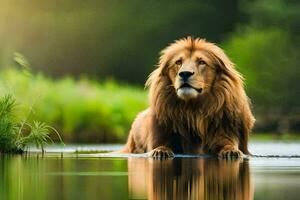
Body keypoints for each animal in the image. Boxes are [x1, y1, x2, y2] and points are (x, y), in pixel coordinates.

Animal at [120, 36, 254, 158]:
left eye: (201, 62)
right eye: (178, 62)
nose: (184, 73)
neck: (193, 110)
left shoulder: (225, 131)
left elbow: (228, 144)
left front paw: (231, 152)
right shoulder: (161, 134)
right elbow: (161, 145)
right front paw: (160, 152)